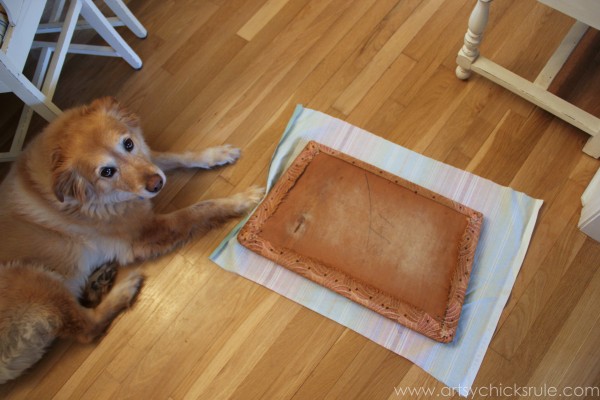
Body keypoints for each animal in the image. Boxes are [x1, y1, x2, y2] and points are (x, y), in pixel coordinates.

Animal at [0, 97, 262, 384]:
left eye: (128, 144)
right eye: (106, 171)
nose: (156, 185)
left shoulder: (149, 162)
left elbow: (175, 156)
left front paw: (217, 154)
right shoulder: (146, 232)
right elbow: (200, 208)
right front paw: (242, 200)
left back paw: (98, 282)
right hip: (29, 278)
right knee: (86, 329)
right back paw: (123, 290)